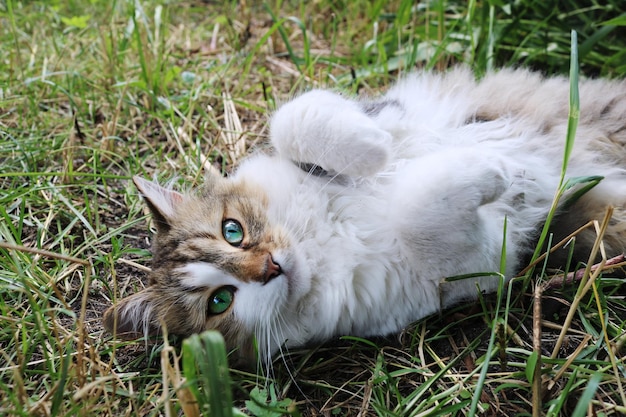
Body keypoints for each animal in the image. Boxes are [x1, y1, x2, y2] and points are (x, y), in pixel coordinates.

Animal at [102, 66, 624, 362]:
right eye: (219, 302)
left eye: (233, 231)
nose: (270, 267)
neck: (319, 240)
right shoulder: (477, 263)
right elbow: (421, 211)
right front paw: (496, 170)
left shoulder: (374, 111)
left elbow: (296, 117)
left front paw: (376, 149)